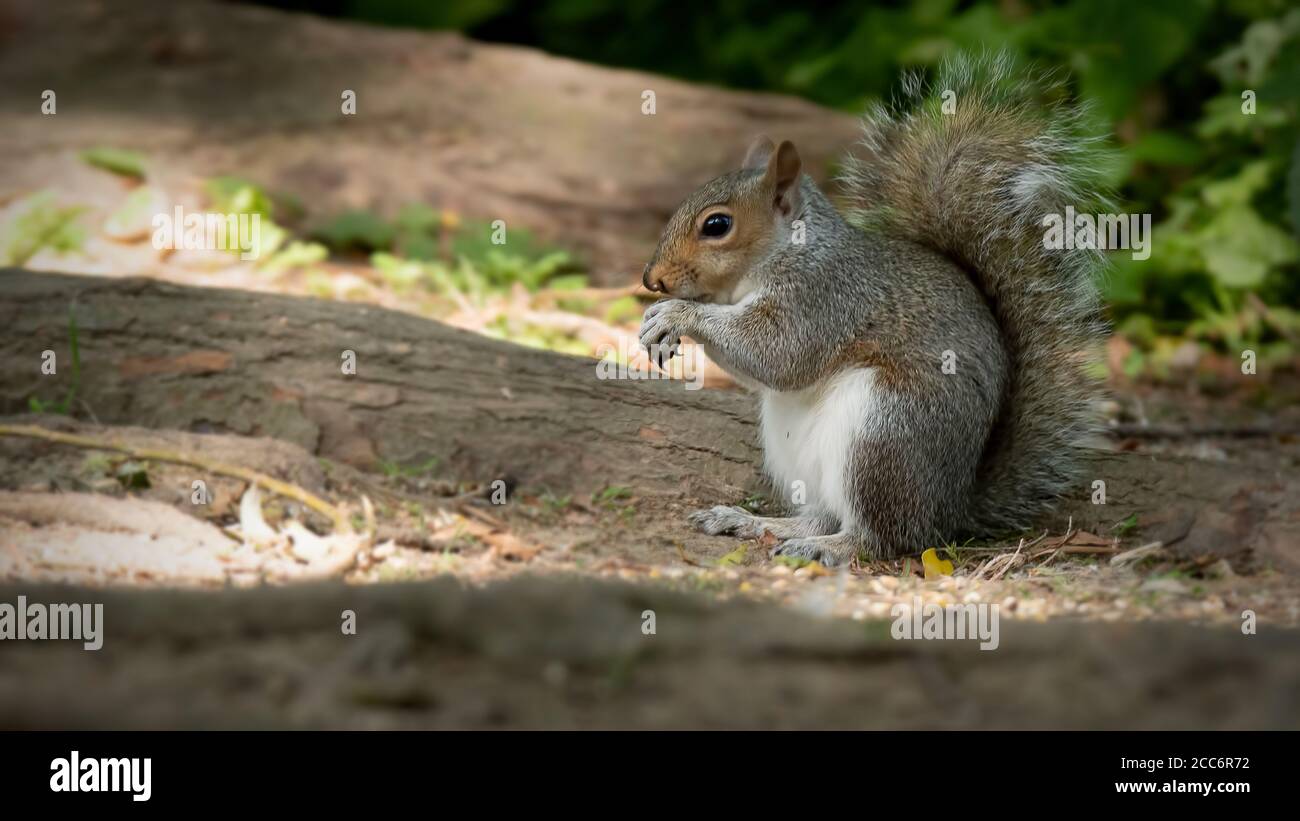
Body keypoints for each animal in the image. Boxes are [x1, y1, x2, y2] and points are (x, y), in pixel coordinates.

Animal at [639, 51, 1107, 563]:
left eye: (717, 225)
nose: (651, 280)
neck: (789, 252)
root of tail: (951, 507)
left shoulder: (823, 298)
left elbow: (778, 354)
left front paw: (676, 314)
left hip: (883, 432)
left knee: (883, 536)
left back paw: (825, 548)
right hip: (798, 452)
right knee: (822, 514)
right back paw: (756, 523)